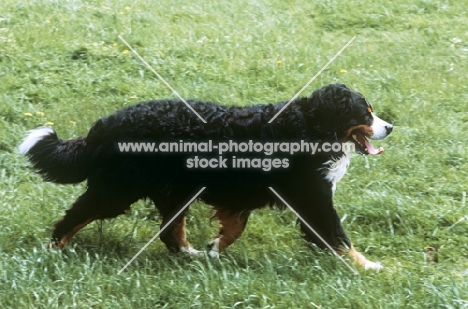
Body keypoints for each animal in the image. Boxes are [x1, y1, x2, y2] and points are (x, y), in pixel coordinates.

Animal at [19, 83, 392, 270]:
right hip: (116, 191)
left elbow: (234, 227)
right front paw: (369, 266)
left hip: (175, 192)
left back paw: (192, 255)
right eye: (366, 113)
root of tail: (102, 126)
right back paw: (53, 249)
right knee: (74, 216)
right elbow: (338, 236)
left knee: (170, 232)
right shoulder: (313, 198)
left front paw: (214, 247)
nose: (389, 127)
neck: (311, 127)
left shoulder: (243, 196)